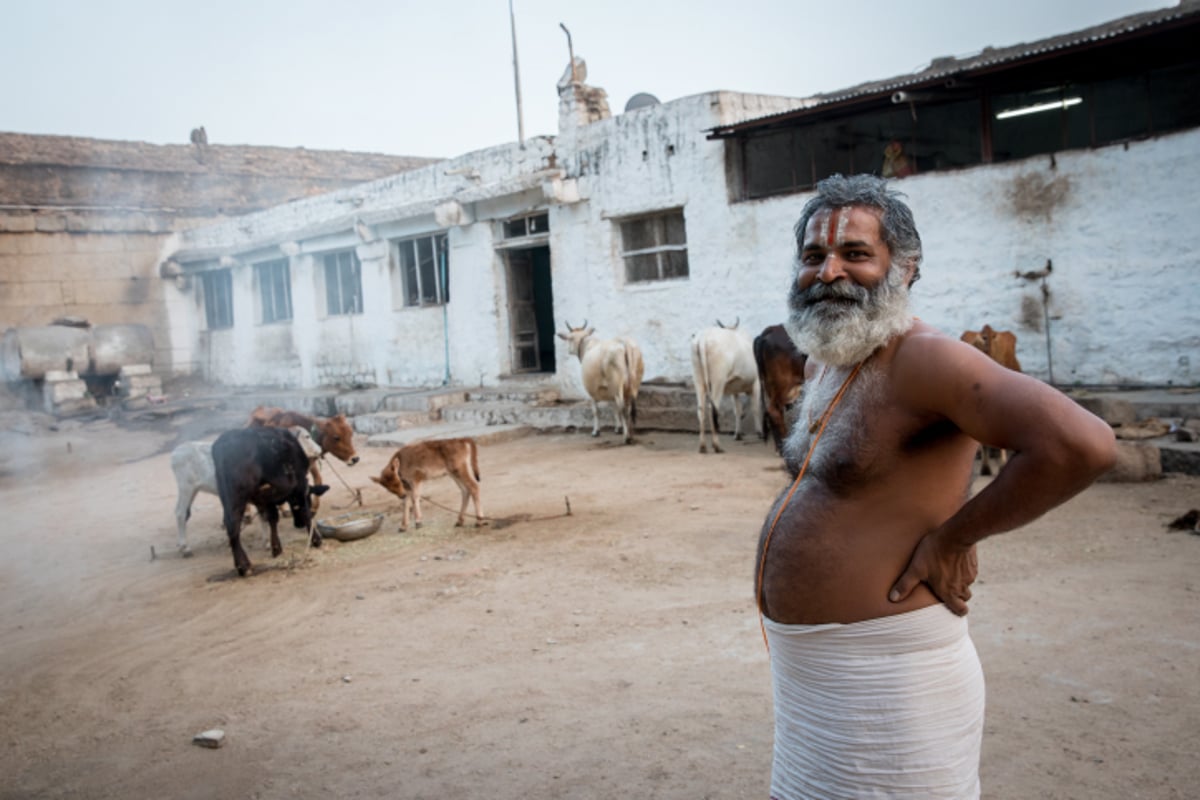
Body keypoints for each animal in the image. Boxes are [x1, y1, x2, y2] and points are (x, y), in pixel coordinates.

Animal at [169, 424, 321, 556]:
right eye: (307, 436)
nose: (319, 450)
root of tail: (176, 452)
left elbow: (263, 516)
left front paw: (267, 542)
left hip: (194, 490)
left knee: (185, 513)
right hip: (186, 488)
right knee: (180, 513)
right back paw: (185, 547)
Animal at [212, 429, 331, 578]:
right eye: (309, 498)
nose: (298, 524)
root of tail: (222, 444)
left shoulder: (268, 498)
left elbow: (273, 518)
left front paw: (276, 547)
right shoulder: (298, 489)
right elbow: (305, 513)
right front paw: (316, 539)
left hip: (226, 496)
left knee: (230, 525)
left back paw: (241, 565)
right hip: (238, 493)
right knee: (233, 525)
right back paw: (244, 566)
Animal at [696, 321, 758, 455]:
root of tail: (703, 338)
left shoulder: (735, 390)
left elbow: (738, 410)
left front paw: (738, 434)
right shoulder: (757, 383)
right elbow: (755, 408)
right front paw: (759, 432)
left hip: (699, 380)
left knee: (701, 409)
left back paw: (703, 446)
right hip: (718, 380)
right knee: (713, 409)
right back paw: (717, 446)